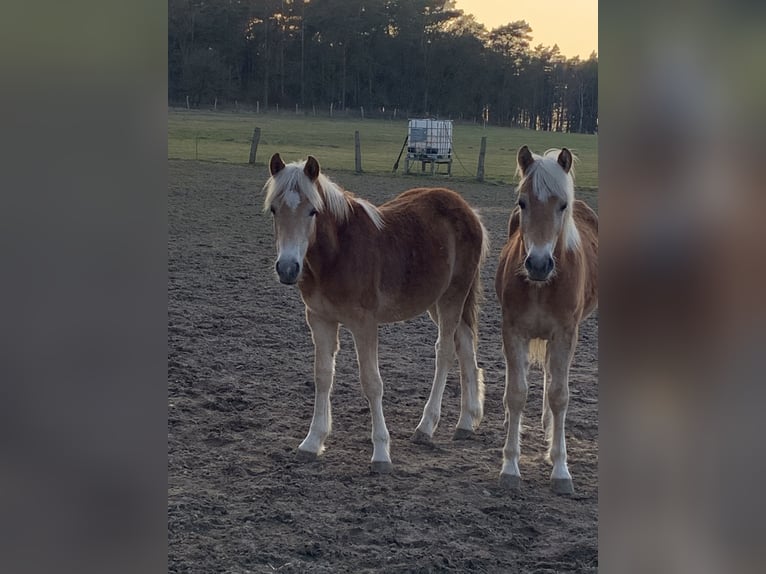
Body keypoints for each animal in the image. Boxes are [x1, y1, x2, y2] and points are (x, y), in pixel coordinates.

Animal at [268, 153, 488, 472]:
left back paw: (426, 427)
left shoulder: (364, 324)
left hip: (452, 298)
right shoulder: (320, 319)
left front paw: (382, 452)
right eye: (274, 209)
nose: (287, 268)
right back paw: (467, 422)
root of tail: (469, 211)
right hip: (438, 301)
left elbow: (372, 383)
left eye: (312, 211)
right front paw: (312, 441)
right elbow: (323, 376)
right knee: (466, 347)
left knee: (446, 352)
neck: (337, 254)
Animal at [498, 147, 600, 496]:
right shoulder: (513, 331)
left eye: (562, 205)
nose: (539, 264)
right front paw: (510, 466)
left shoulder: (565, 334)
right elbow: (516, 392)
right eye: (522, 202)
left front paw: (560, 468)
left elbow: (559, 395)